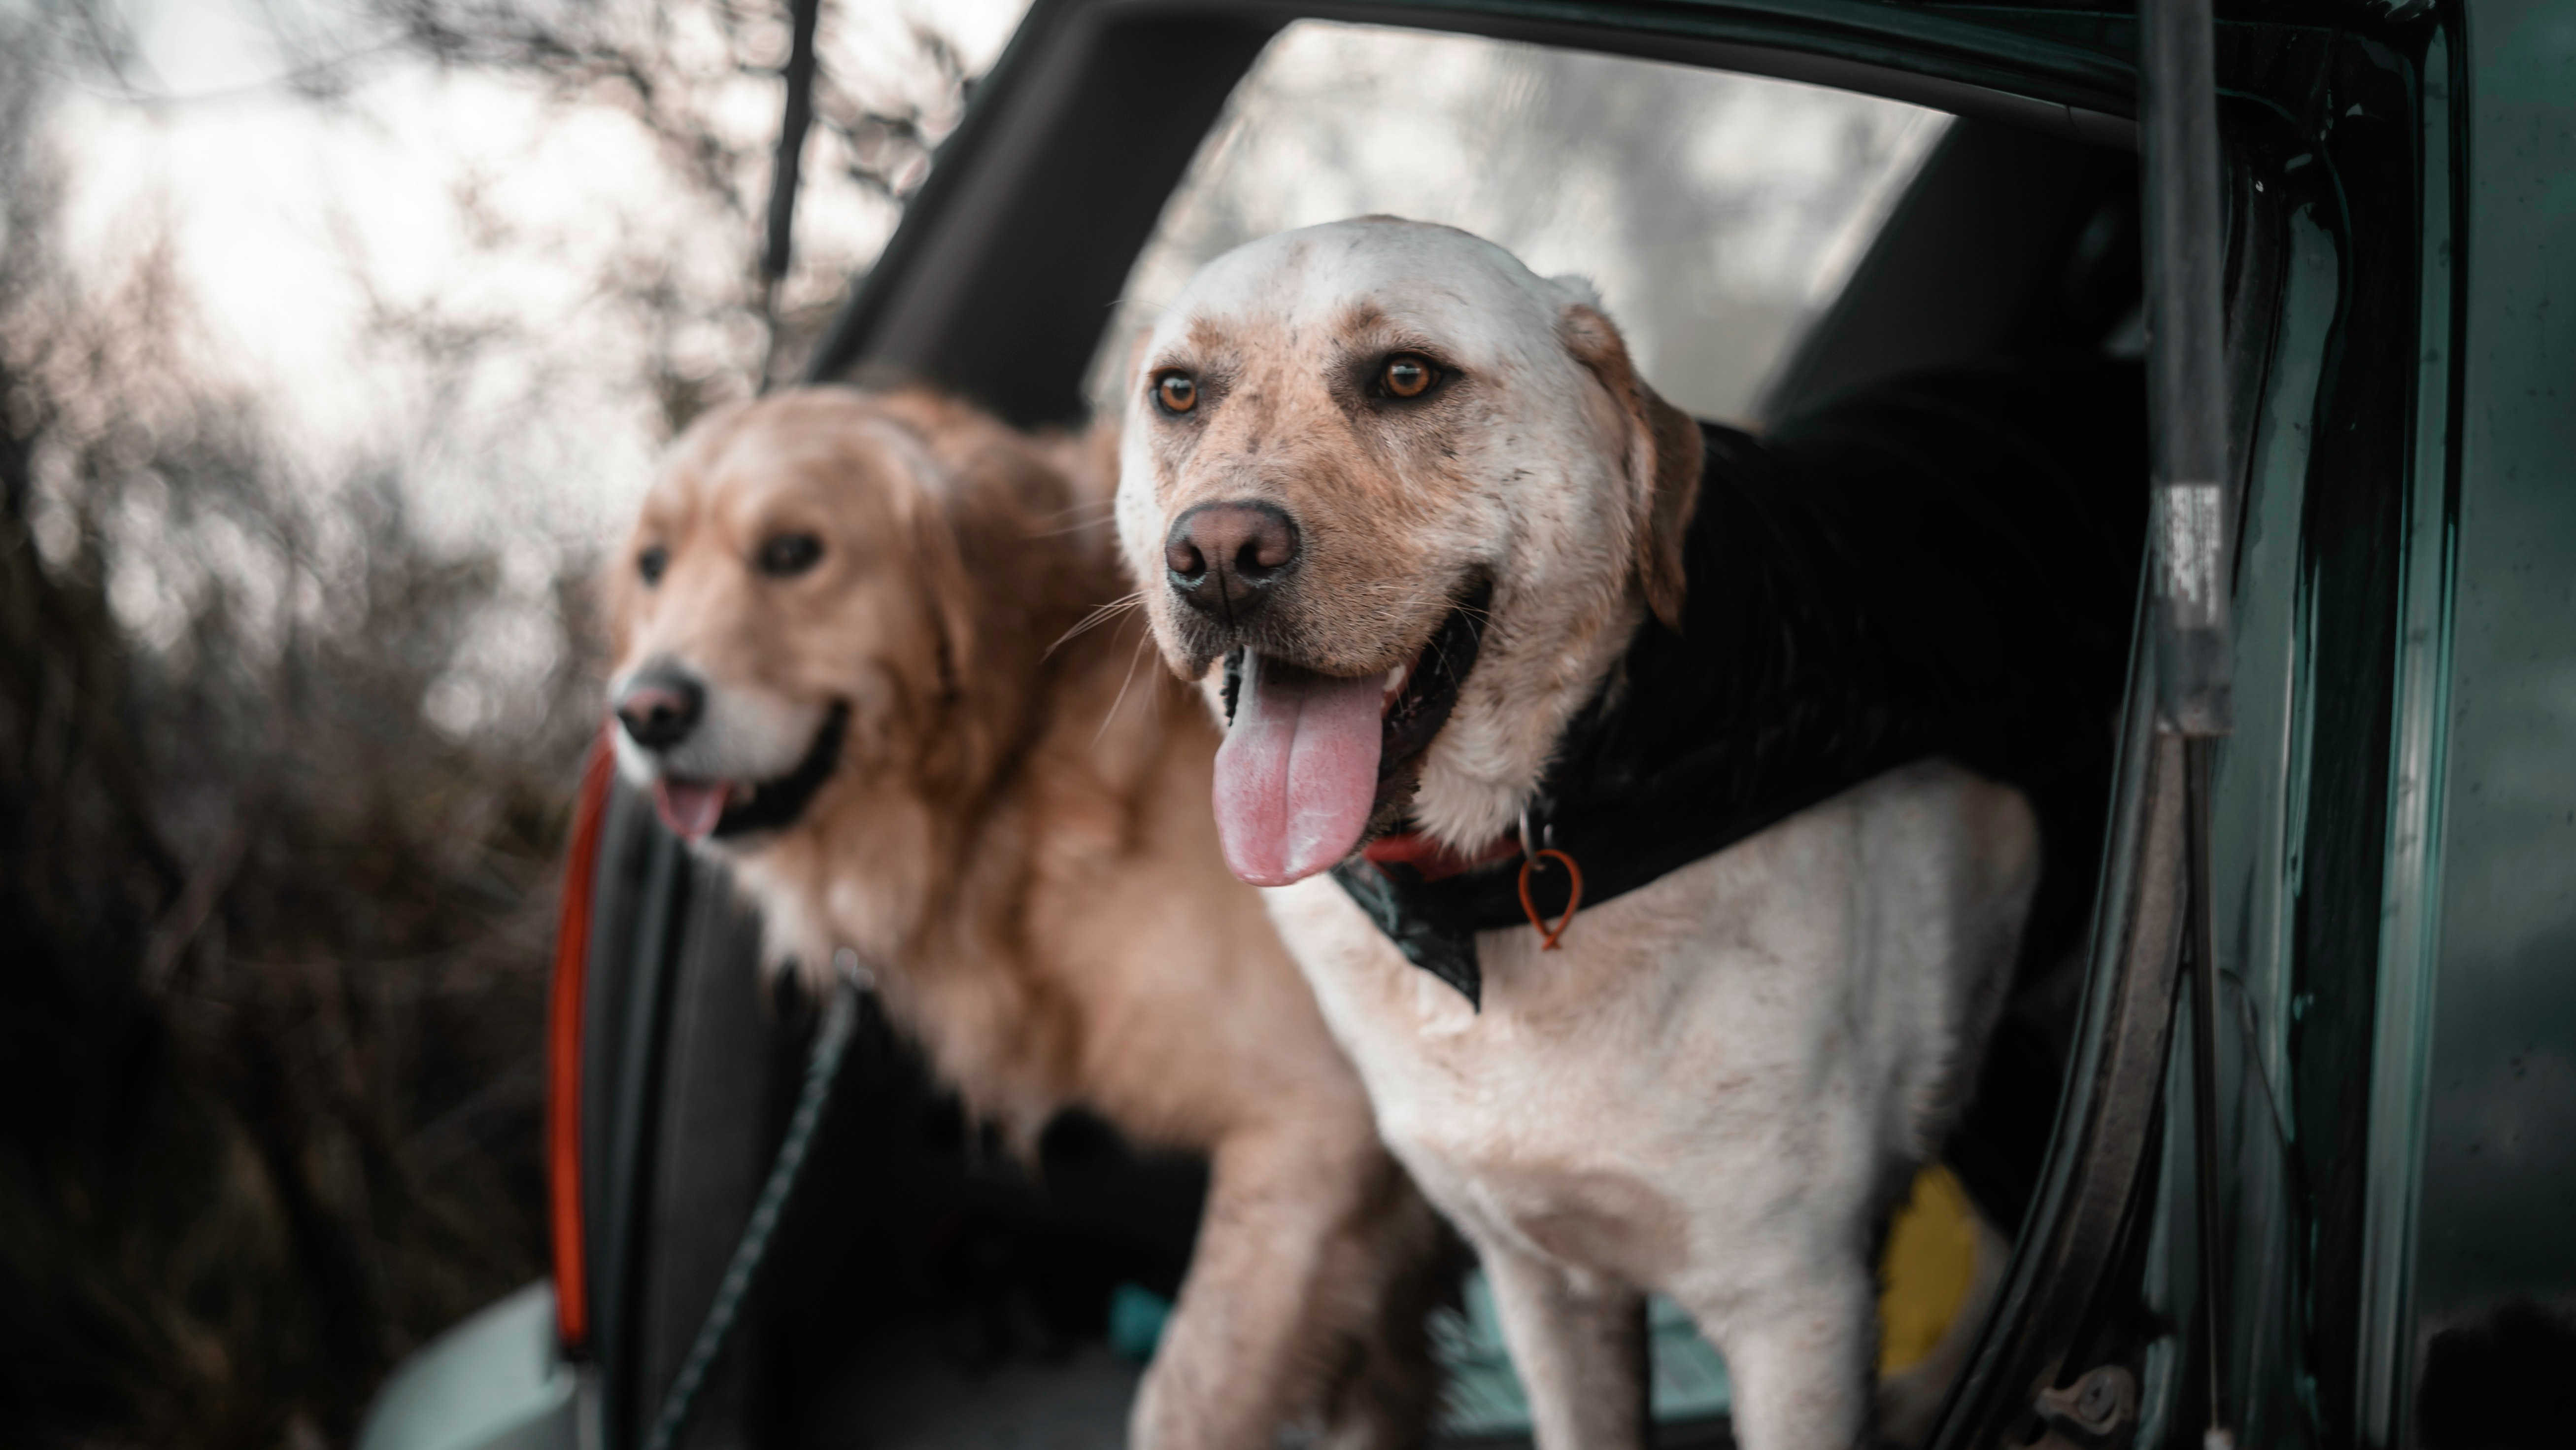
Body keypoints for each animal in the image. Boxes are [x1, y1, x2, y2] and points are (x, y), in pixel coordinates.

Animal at [1108, 219, 2133, 1450]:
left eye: (1405, 377)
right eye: (1178, 393)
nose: (1215, 555)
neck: (1490, 879)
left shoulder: (1795, 1307)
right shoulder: (1543, 1283)